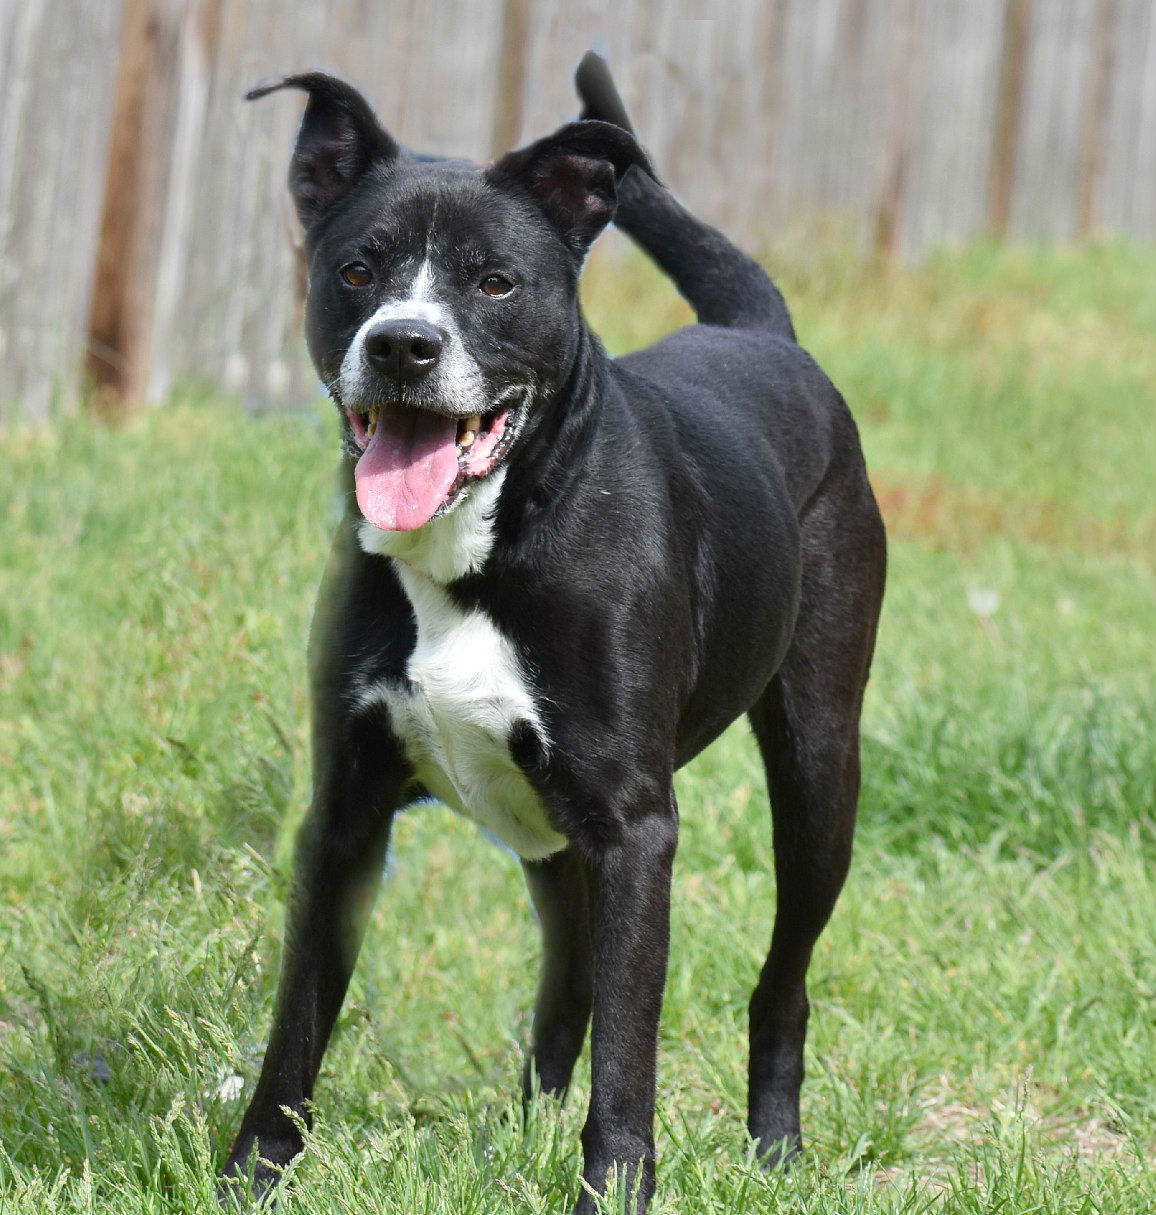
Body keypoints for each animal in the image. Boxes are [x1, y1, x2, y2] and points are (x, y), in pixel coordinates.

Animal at [223, 52, 884, 1210]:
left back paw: (774, 1149)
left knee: (780, 979)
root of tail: (764, 335)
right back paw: (517, 1135)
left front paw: (614, 1189)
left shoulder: (634, 828)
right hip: (545, 833)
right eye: (357, 269)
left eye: (494, 282)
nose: (403, 343)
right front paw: (251, 1174)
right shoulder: (343, 812)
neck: (478, 545)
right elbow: (298, 1019)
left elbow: (630, 1046)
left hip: (816, 772)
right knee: (566, 987)